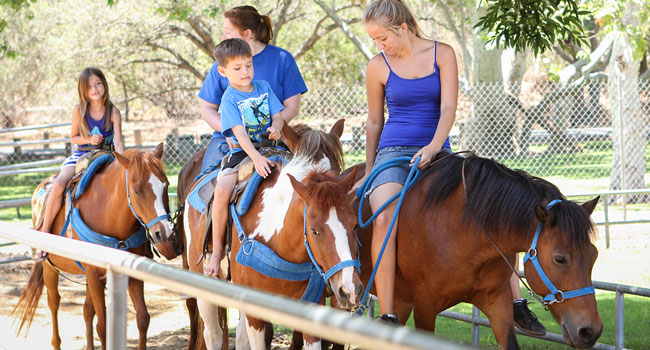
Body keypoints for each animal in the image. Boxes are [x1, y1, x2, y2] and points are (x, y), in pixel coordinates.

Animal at [13, 144, 185, 348]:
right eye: (136, 190)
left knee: (87, 310)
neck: (107, 212)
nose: (164, 234)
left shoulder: (129, 274)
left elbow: (143, 318)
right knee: (54, 302)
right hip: (50, 269)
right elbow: (103, 327)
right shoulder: (94, 274)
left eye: (166, 185)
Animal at [181, 121, 364, 350]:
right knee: (213, 335)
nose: (350, 290)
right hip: (204, 283)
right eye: (315, 230)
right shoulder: (255, 313)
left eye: (355, 226)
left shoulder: (312, 307)